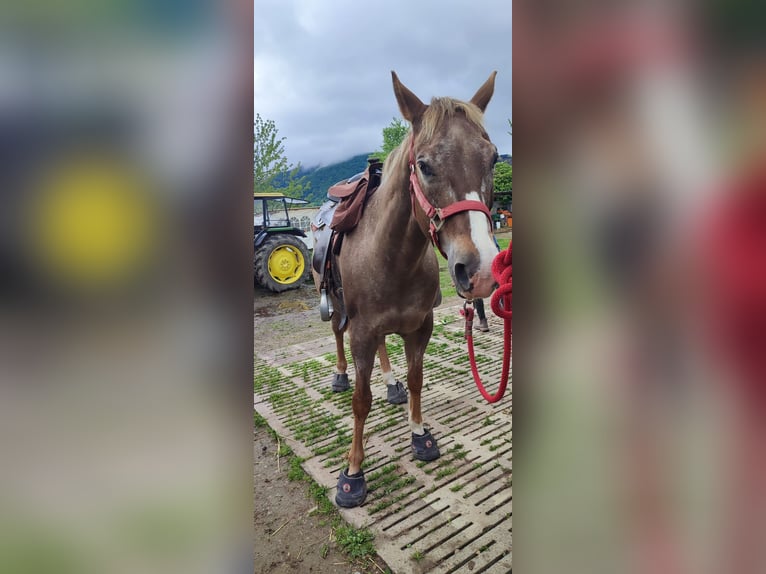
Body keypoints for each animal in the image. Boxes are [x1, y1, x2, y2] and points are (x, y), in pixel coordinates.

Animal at [332, 72, 500, 508]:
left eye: (493, 158)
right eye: (423, 165)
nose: (481, 272)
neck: (393, 258)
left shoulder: (419, 327)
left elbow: (415, 380)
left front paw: (420, 433)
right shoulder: (361, 331)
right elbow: (361, 401)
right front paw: (352, 472)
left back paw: (388, 382)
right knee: (336, 335)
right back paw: (339, 375)